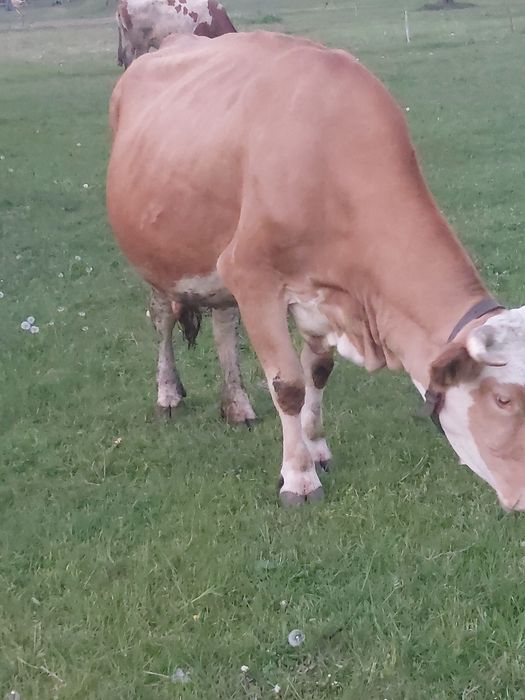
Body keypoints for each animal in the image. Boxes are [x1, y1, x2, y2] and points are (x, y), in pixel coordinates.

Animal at [107, 31, 525, 511]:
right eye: (502, 399)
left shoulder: (321, 292)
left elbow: (318, 372)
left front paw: (317, 448)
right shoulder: (252, 274)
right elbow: (288, 384)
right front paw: (299, 477)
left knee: (223, 325)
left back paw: (237, 405)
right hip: (157, 255)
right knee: (163, 319)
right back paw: (169, 394)